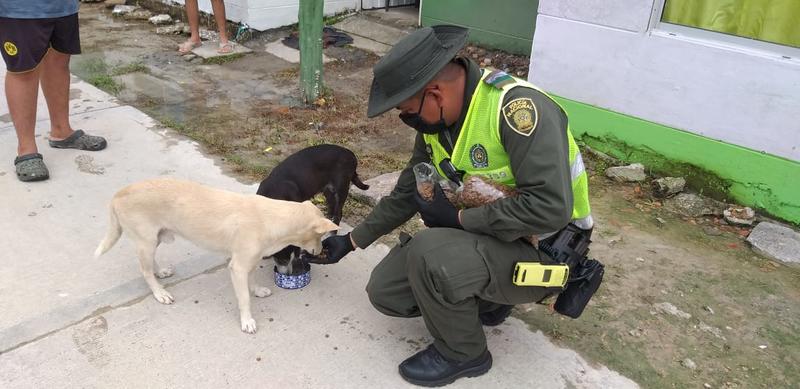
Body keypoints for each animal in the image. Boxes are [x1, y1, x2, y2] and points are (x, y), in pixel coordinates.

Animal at [94, 177, 338, 332]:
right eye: (319, 236)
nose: (320, 251)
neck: (271, 217)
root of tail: (118, 194)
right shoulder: (238, 267)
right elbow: (244, 298)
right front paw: (247, 320)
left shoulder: (247, 263)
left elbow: (252, 281)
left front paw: (257, 289)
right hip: (146, 242)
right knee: (144, 270)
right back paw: (159, 292)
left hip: (154, 239)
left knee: (150, 263)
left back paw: (160, 272)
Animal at [256, 142, 368, 272]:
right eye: (281, 260)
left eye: (295, 255)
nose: (290, 273)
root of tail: (350, 153)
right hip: (328, 191)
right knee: (332, 210)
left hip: (341, 188)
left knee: (338, 214)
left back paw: (332, 233)